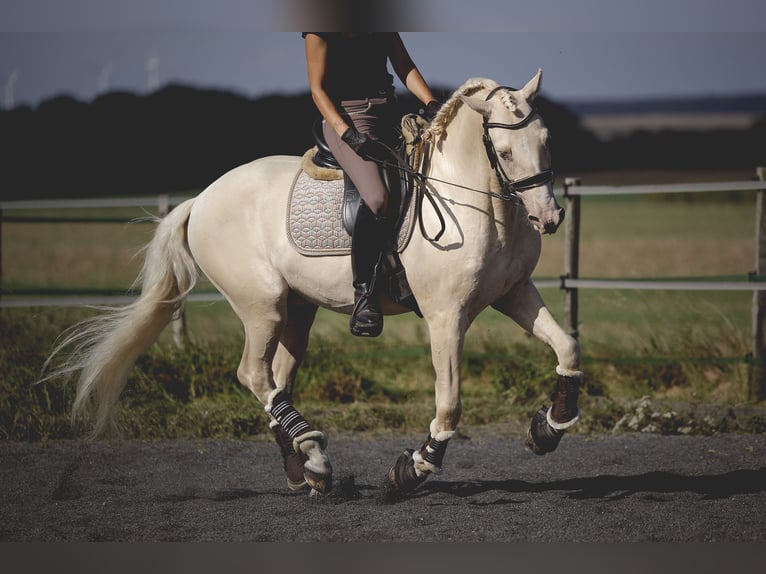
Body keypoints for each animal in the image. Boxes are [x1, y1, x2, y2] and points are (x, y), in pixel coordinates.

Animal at [46, 71, 584, 496]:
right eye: (505, 151)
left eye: (547, 139)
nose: (549, 218)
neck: (479, 202)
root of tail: (200, 200)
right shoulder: (445, 315)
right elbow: (449, 404)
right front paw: (411, 470)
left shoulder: (513, 294)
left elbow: (568, 347)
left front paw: (550, 427)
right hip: (262, 306)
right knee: (253, 374)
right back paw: (315, 453)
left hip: (297, 312)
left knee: (276, 379)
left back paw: (306, 469)